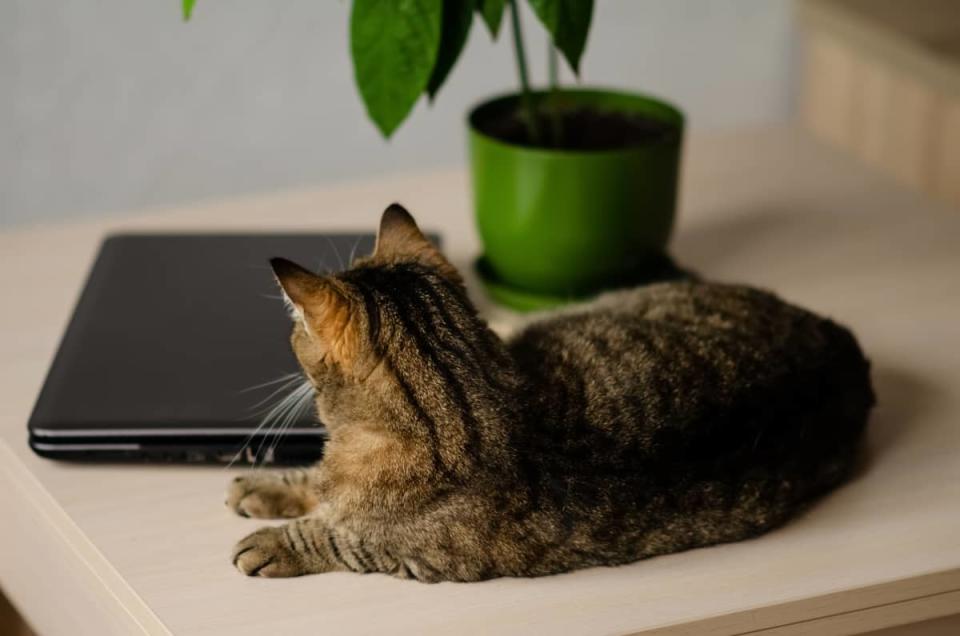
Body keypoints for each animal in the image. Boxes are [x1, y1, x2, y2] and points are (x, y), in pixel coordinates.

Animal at [229, 204, 872, 580]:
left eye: (294, 332)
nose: (287, 335)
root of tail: (842, 344)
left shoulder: (411, 556)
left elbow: (338, 534)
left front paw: (275, 542)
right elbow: (315, 480)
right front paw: (263, 484)